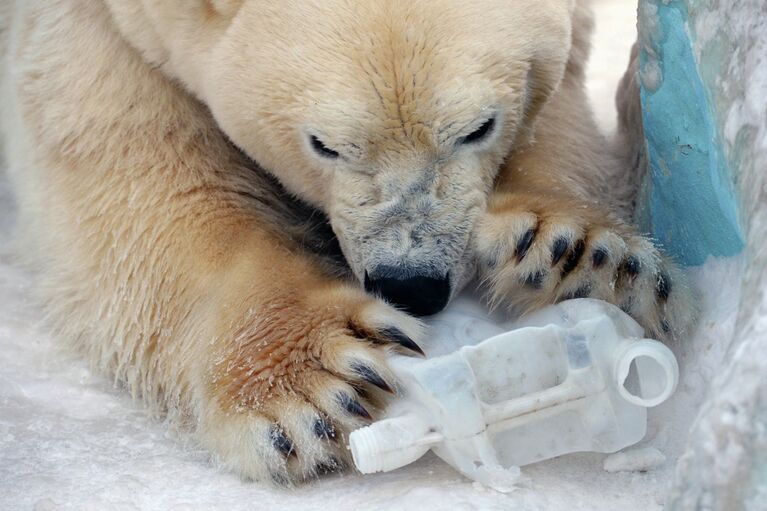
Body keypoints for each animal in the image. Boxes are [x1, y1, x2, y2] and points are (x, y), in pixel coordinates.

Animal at [1, 0, 696, 486]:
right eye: (326, 145)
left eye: (478, 127)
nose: (411, 283)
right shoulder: (83, 36)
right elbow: (145, 179)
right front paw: (315, 387)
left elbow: (557, 110)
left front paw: (582, 256)